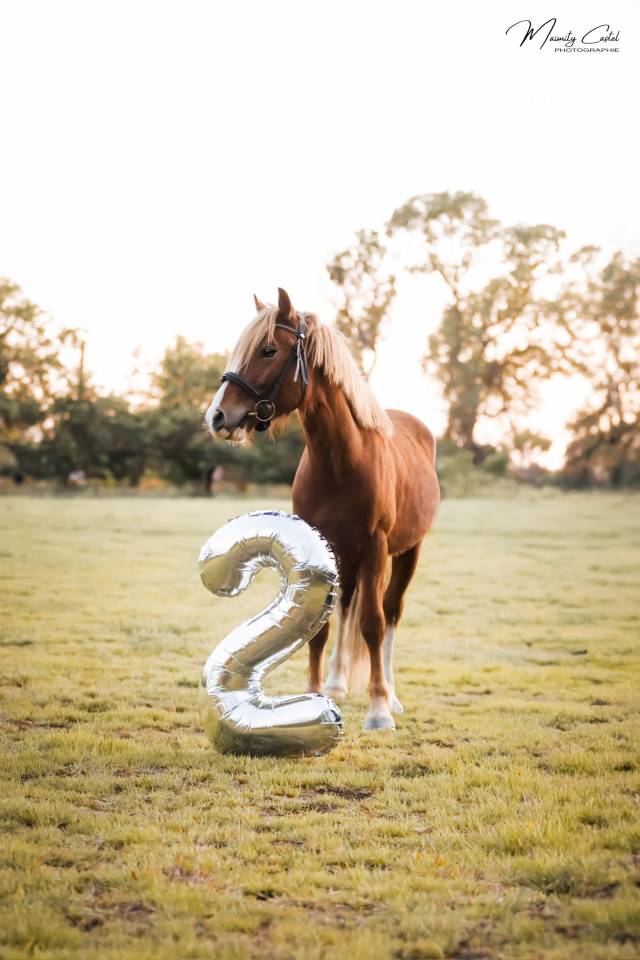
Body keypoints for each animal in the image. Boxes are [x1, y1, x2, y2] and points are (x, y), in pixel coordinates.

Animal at [205, 288, 440, 730]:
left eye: (267, 350)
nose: (217, 416)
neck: (342, 460)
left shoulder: (377, 550)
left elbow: (373, 623)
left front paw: (379, 709)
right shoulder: (323, 544)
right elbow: (322, 626)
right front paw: (317, 693)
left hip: (408, 553)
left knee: (390, 613)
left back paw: (392, 695)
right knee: (347, 608)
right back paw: (336, 682)